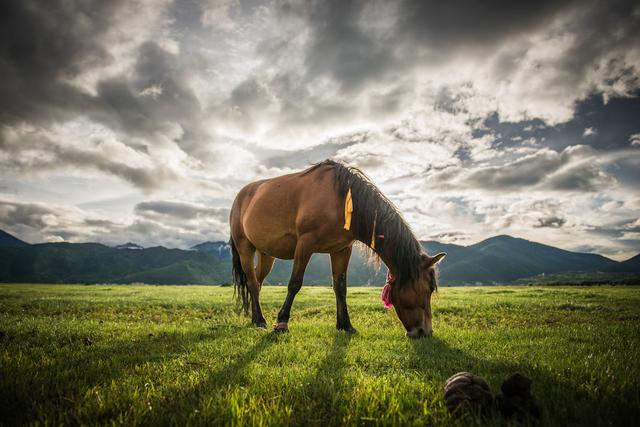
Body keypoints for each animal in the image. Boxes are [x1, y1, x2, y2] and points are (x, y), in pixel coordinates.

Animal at [229, 160, 444, 338]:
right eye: (428, 289)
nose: (425, 332)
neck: (340, 198)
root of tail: (241, 195)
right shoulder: (305, 244)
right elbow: (295, 283)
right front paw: (282, 322)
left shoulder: (341, 250)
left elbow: (340, 287)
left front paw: (345, 325)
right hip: (245, 248)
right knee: (252, 282)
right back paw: (260, 320)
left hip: (266, 254)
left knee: (256, 281)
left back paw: (255, 318)